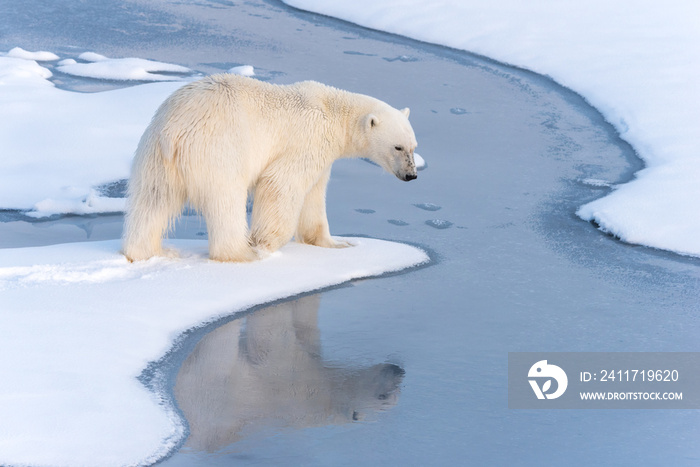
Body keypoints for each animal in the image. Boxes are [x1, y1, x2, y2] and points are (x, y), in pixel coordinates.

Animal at [121, 75, 416, 262]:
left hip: (154, 155)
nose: (411, 175)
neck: (332, 111)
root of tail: (175, 131)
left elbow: (314, 197)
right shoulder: (306, 140)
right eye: (398, 147)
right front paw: (265, 244)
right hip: (218, 149)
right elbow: (281, 184)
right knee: (226, 199)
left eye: (414, 146)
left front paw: (336, 243)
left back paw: (147, 252)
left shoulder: (322, 155)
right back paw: (243, 253)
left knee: (152, 200)